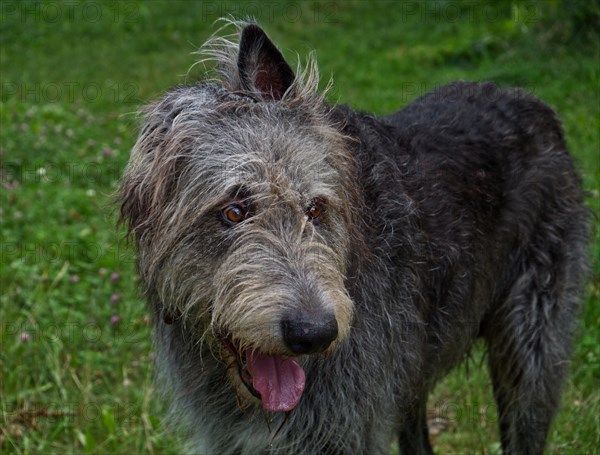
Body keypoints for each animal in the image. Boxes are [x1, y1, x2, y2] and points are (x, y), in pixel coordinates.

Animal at [118, 22, 592, 455]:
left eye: (316, 209)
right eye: (234, 211)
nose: (315, 333)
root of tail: (529, 100)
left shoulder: (349, 429)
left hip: (532, 350)